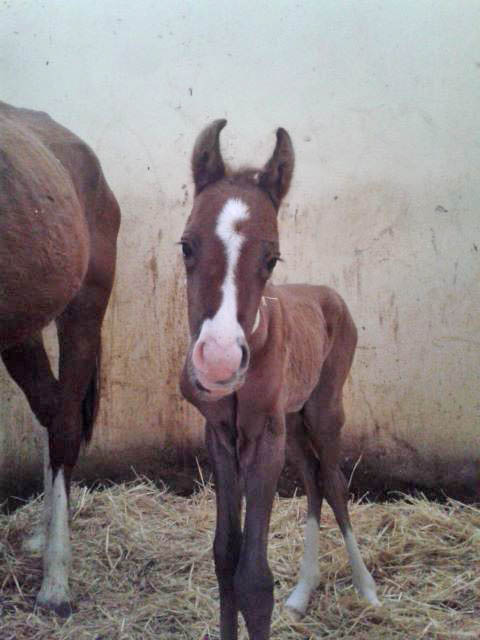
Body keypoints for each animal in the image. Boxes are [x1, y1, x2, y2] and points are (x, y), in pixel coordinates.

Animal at [179, 120, 379, 639]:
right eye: (186, 246)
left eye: (271, 258)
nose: (219, 363)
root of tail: (329, 294)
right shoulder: (221, 436)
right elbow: (225, 556)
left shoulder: (265, 437)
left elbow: (254, 576)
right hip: (293, 421)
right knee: (311, 482)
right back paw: (303, 592)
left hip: (324, 412)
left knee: (333, 483)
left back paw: (366, 587)